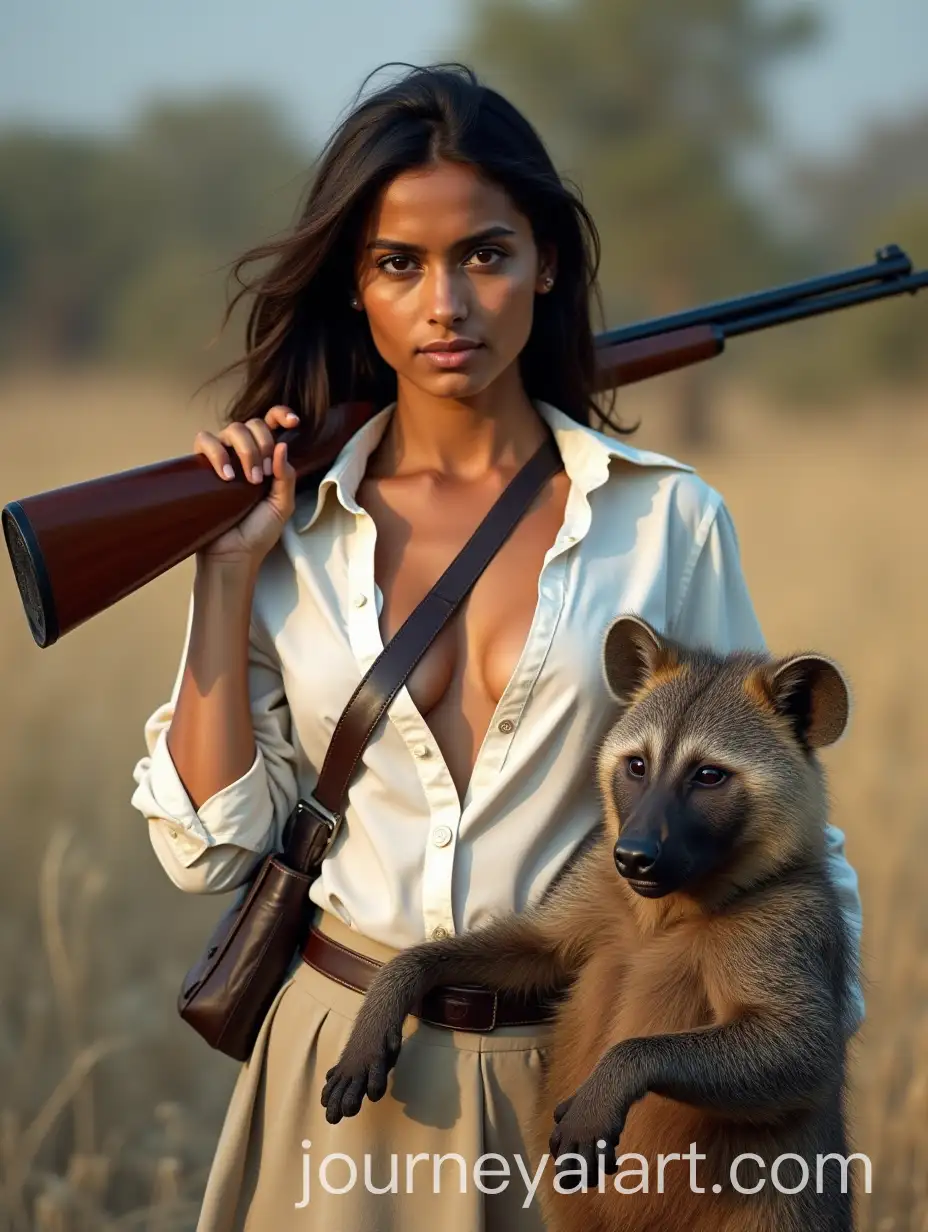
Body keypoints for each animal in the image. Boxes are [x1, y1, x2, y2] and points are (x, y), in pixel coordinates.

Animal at [320, 614, 859, 1232]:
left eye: (709, 775)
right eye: (637, 765)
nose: (635, 857)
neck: (662, 913)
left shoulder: (788, 924)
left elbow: (804, 1048)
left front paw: (615, 1075)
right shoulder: (596, 885)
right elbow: (535, 948)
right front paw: (394, 983)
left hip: (777, 1207)